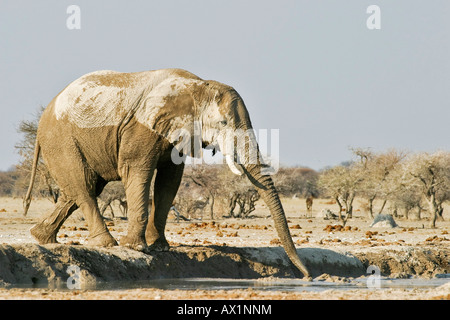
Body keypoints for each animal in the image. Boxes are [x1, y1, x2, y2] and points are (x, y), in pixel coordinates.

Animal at [22, 68, 312, 278]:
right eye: (223, 123)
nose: (308, 276)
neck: (198, 86)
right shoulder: (141, 128)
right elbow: (137, 171)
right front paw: (135, 247)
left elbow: (170, 179)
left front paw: (160, 247)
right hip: (62, 140)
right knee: (83, 186)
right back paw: (105, 244)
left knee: (83, 188)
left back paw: (41, 237)